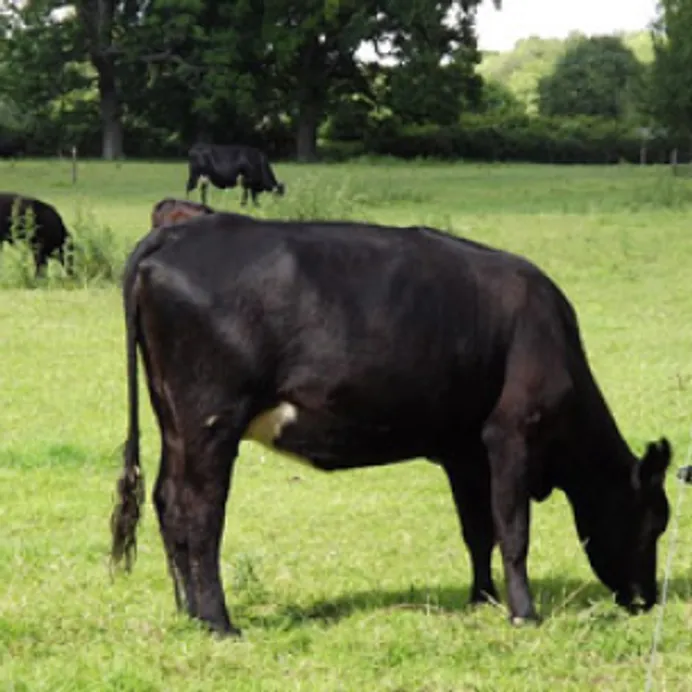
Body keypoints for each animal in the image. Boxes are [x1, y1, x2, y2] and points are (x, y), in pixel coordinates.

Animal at [111, 214, 672, 636]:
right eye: (655, 521)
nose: (646, 600)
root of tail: (181, 233)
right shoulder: (512, 433)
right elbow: (513, 532)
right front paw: (524, 614)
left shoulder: (465, 450)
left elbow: (478, 529)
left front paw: (482, 599)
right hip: (211, 420)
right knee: (199, 512)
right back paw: (219, 622)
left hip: (174, 421)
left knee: (167, 501)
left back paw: (188, 611)